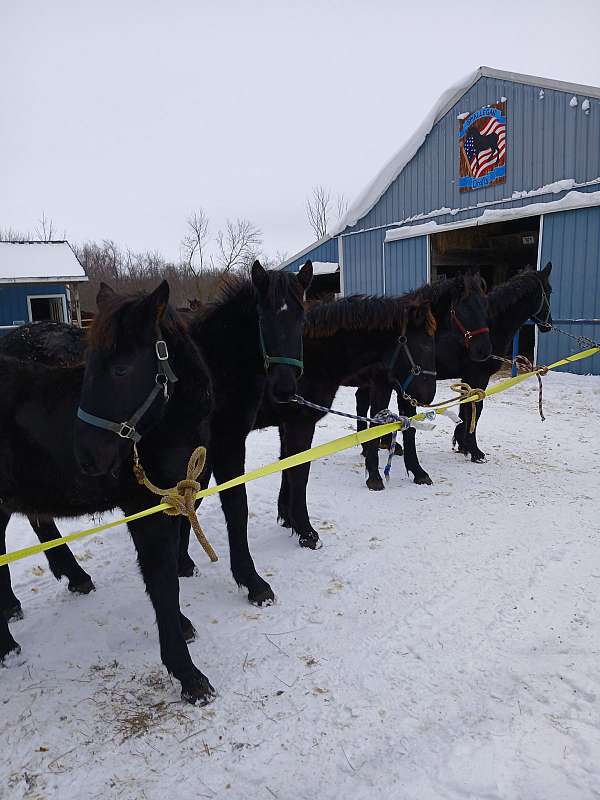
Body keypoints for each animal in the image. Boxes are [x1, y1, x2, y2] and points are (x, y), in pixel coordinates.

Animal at [354, 274, 490, 488]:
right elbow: (377, 424)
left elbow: (409, 429)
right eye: (464, 308)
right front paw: (374, 477)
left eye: (485, 305)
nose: (484, 350)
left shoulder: (407, 391)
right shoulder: (382, 386)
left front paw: (418, 472)